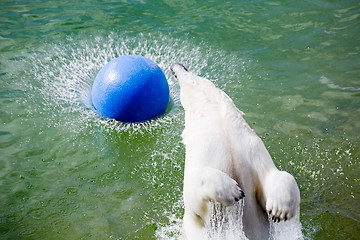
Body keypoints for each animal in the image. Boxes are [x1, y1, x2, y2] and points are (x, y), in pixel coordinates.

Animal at [171, 62, 300, 239]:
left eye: (186, 70)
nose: (175, 66)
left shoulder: (251, 148)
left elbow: (274, 176)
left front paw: (280, 210)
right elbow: (193, 193)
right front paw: (234, 191)